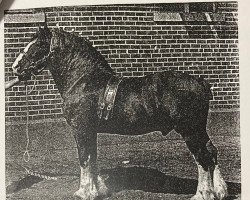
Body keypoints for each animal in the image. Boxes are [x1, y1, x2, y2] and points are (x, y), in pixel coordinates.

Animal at [9, 24, 228, 199]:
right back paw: (220, 191)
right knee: (212, 152)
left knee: (202, 158)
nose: (15, 67)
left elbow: (84, 158)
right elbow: (93, 158)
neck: (84, 81)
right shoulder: (91, 131)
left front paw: (83, 192)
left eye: (37, 46)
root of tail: (199, 81)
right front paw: (98, 191)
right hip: (199, 129)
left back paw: (203, 194)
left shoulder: (81, 130)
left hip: (190, 130)